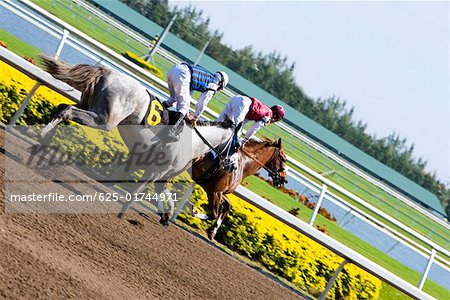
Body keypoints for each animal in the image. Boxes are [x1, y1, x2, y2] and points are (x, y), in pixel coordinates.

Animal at [38, 55, 234, 220]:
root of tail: (107, 72)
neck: (193, 141)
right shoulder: (156, 171)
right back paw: (43, 136)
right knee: (68, 111)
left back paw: (44, 142)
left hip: (87, 105)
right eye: (235, 147)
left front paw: (167, 215)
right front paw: (122, 214)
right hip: (104, 120)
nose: (232, 166)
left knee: (64, 107)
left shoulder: (148, 166)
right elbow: (137, 191)